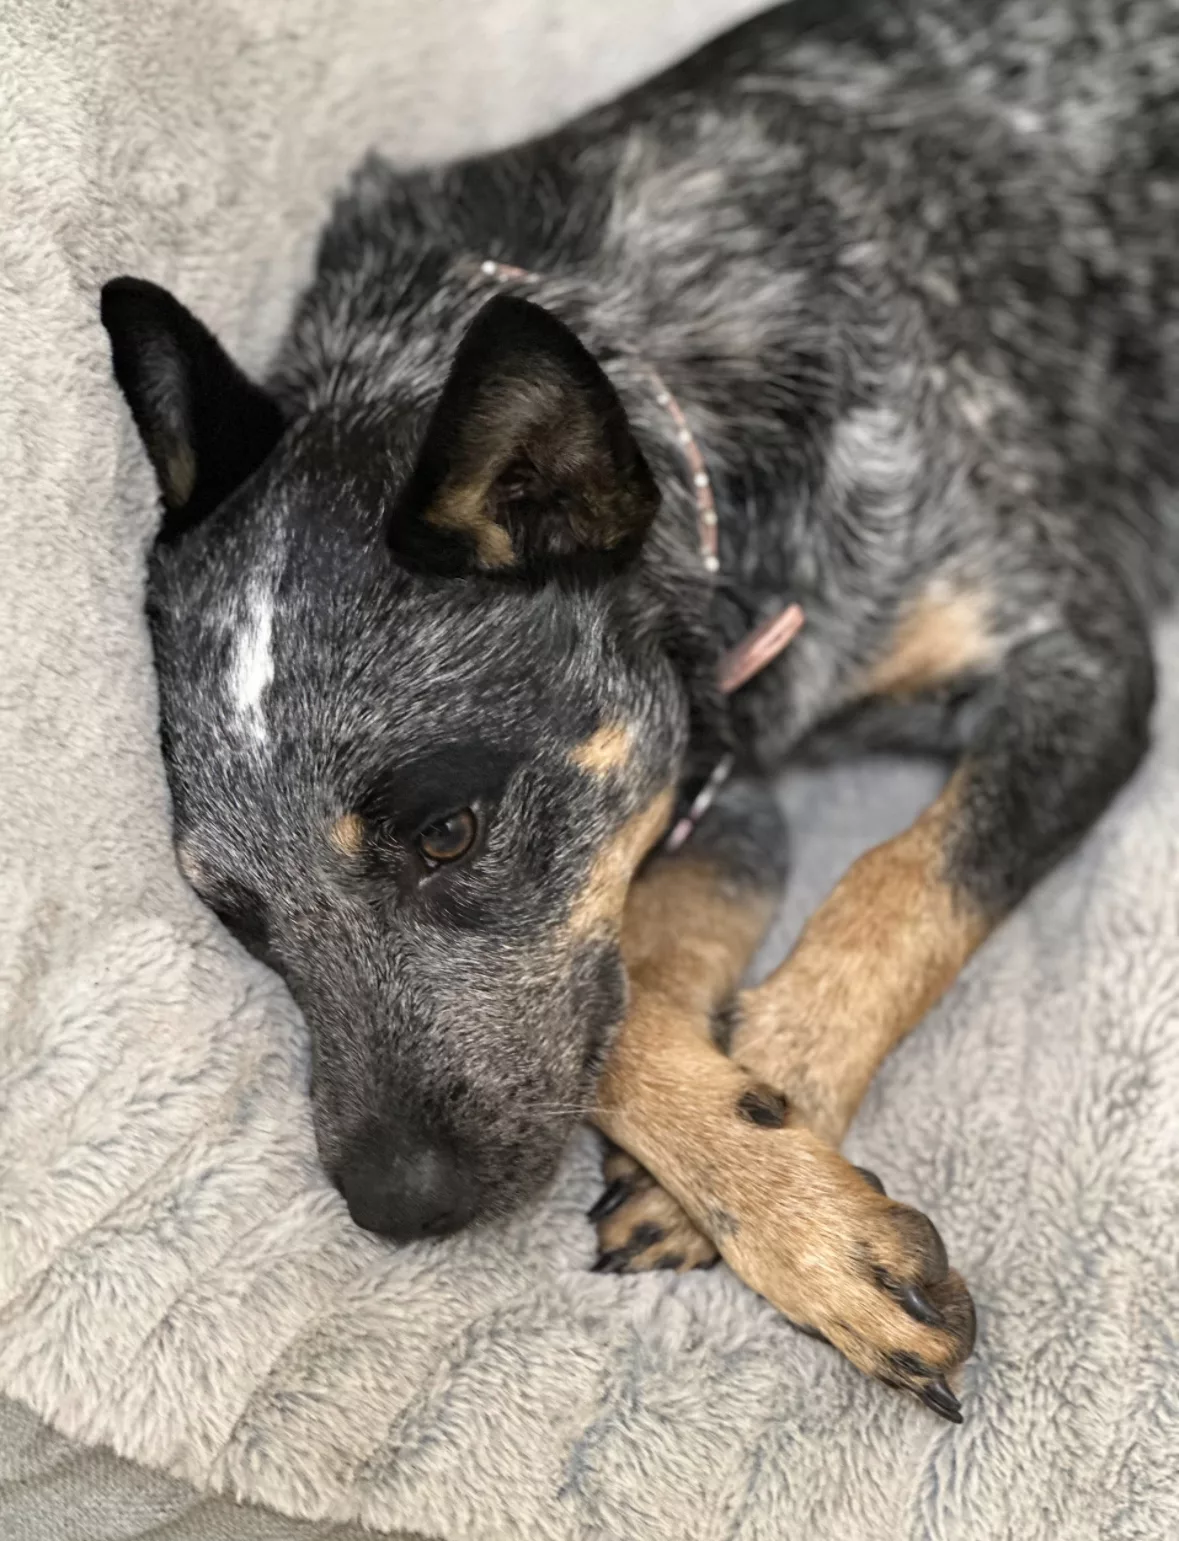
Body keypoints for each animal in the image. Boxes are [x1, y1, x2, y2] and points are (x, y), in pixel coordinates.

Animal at [99, 0, 1178, 1423]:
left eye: (446, 829)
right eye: (234, 915)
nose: (396, 1206)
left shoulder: (1077, 659)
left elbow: (903, 880)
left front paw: (778, 1130)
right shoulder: (708, 793)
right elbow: (614, 1010)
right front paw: (775, 1191)